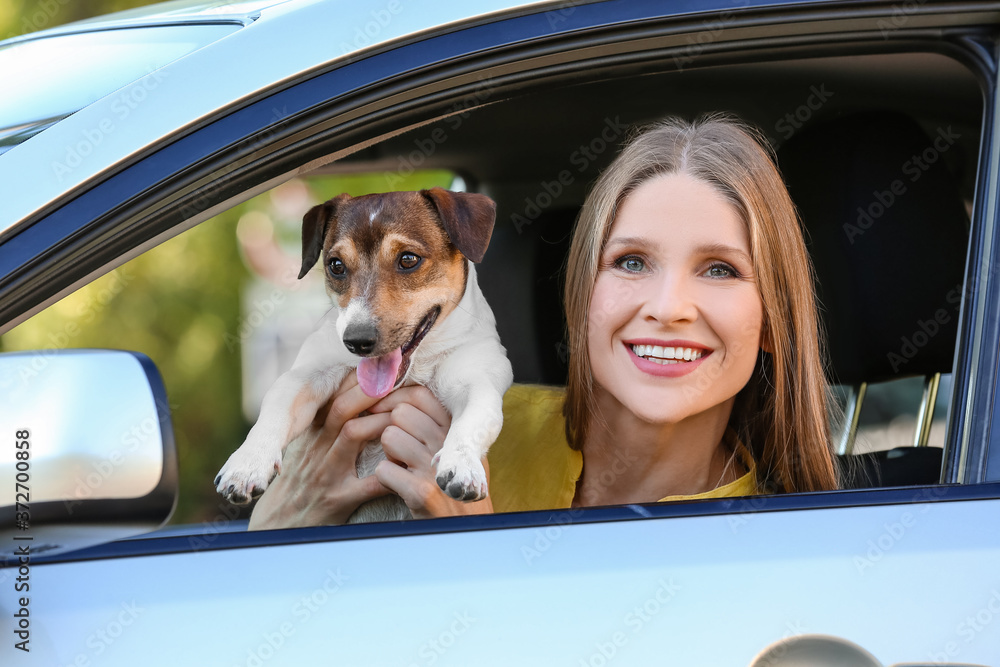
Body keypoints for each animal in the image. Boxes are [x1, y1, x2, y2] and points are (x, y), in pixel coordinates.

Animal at [214, 185, 512, 524]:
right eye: (336, 265)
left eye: (408, 259)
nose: (356, 340)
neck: (416, 367)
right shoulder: (306, 375)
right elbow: (275, 408)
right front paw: (248, 463)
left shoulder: (476, 382)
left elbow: (476, 419)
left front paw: (461, 463)